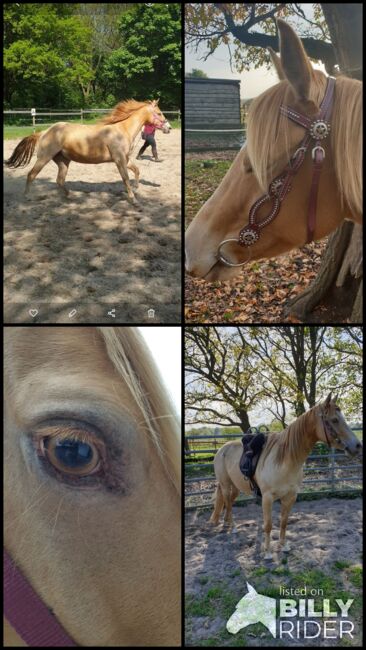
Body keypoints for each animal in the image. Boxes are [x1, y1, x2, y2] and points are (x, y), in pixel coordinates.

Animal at [4, 98, 170, 202]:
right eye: (159, 113)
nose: (168, 127)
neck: (122, 130)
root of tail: (44, 132)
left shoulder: (125, 159)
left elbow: (136, 170)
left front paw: (136, 190)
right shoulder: (119, 160)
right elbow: (125, 178)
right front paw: (133, 199)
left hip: (63, 161)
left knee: (59, 180)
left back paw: (69, 196)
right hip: (44, 158)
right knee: (31, 175)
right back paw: (27, 197)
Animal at [210, 392, 362, 560]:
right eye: (334, 420)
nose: (357, 446)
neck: (285, 461)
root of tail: (222, 449)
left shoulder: (290, 496)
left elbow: (283, 522)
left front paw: (283, 546)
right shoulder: (267, 497)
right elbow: (268, 525)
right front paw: (268, 552)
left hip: (236, 486)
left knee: (229, 502)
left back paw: (227, 523)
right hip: (225, 485)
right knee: (228, 503)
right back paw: (233, 527)